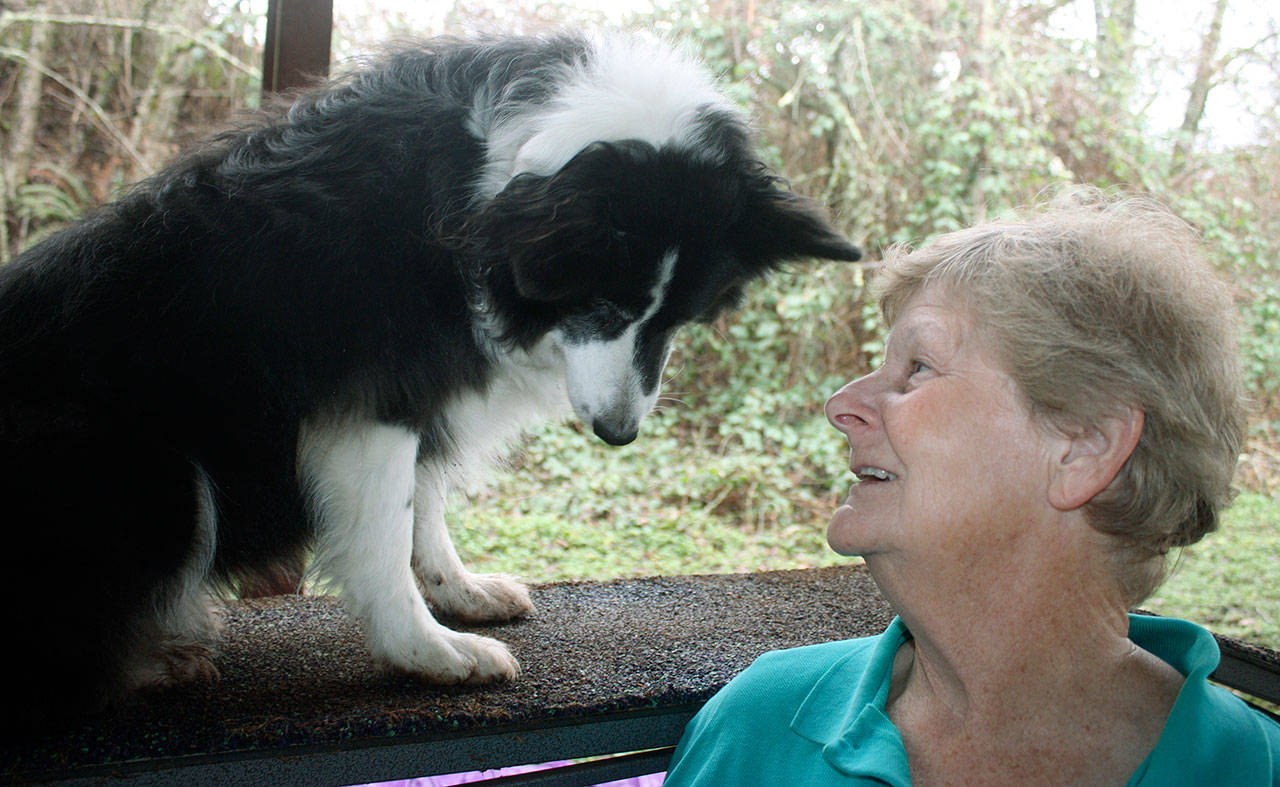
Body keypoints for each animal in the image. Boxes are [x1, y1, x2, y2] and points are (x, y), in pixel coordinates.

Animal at [2, 33, 860, 716]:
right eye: (604, 301)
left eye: (685, 316)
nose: (617, 434)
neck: (493, 181)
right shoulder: (370, 397)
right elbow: (386, 527)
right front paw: (432, 653)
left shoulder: (424, 392)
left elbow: (427, 502)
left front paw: (462, 591)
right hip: (154, 471)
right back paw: (151, 661)